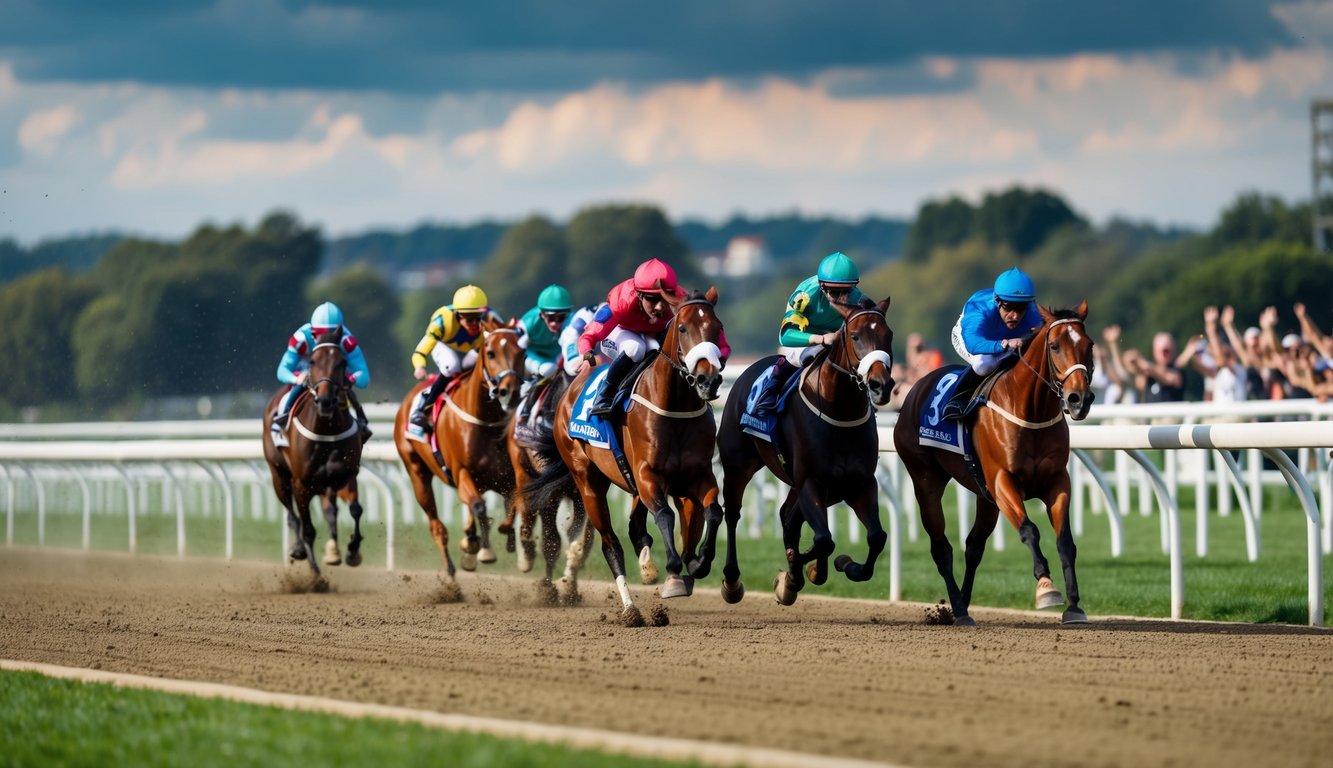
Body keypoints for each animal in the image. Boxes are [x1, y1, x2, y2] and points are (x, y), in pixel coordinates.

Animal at [261, 324, 365, 576]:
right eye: (312, 361)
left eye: (342, 363)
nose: (326, 401)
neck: (327, 429)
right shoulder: (301, 483)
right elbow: (307, 527)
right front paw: (315, 574)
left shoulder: (347, 474)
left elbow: (356, 510)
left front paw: (352, 550)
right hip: (279, 476)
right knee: (292, 516)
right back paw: (299, 550)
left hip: (326, 483)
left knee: (330, 512)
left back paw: (333, 551)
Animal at [389, 317, 525, 581]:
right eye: (491, 353)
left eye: (522, 352)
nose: (510, 391)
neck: (484, 421)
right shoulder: (462, 472)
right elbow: (480, 507)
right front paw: (485, 551)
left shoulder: (506, 477)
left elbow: (513, 505)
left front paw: (509, 538)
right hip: (417, 473)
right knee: (437, 525)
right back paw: (452, 572)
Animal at [522, 286, 730, 624]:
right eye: (683, 328)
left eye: (717, 327)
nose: (708, 380)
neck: (675, 407)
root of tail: (572, 389)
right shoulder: (647, 475)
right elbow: (664, 515)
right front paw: (673, 573)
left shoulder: (698, 475)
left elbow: (713, 511)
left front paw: (699, 562)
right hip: (588, 483)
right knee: (610, 544)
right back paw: (630, 609)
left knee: (636, 527)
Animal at [719, 298, 895, 605]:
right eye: (855, 336)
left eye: (890, 335)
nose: (880, 385)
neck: (840, 412)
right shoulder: (811, 481)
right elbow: (823, 539)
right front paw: (803, 565)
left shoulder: (859, 483)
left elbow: (876, 536)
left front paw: (844, 566)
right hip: (738, 464)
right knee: (733, 514)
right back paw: (733, 581)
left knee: (788, 516)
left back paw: (795, 577)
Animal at [895, 300, 1093, 624]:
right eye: (1054, 346)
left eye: (1089, 346)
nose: (1079, 399)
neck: (1030, 412)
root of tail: (916, 387)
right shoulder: (1003, 481)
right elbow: (1029, 529)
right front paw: (1046, 587)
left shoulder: (1056, 481)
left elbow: (1065, 540)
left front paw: (1074, 605)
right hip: (926, 482)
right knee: (941, 548)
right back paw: (959, 610)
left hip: (984, 495)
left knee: (973, 546)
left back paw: (962, 605)